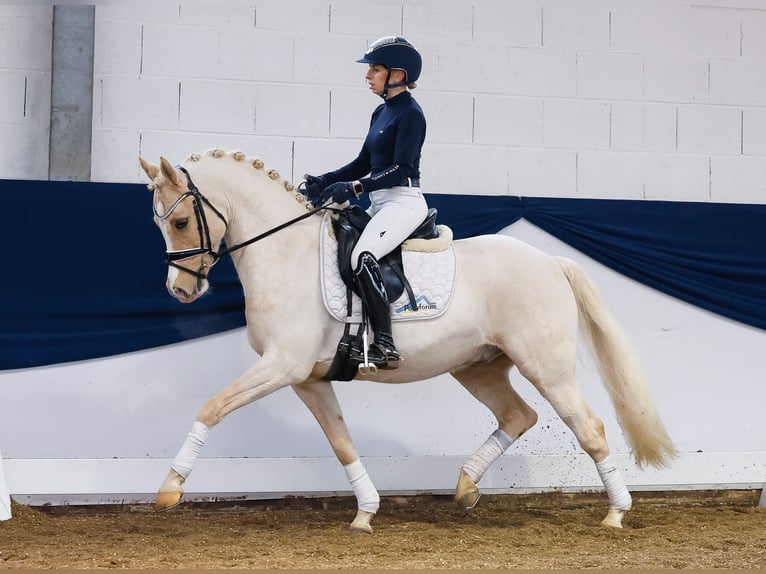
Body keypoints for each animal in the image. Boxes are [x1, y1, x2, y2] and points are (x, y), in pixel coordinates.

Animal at [140, 148, 680, 536]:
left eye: (182, 221)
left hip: (547, 367)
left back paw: (616, 513)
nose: (180, 291)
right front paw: (365, 512)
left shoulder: (281, 366)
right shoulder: (307, 378)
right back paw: (466, 488)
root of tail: (549, 261)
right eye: (158, 223)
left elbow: (213, 406)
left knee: (589, 427)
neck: (285, 254)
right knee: (518, 416)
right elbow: (341, 441)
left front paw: (170, 487)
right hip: (478, 367)